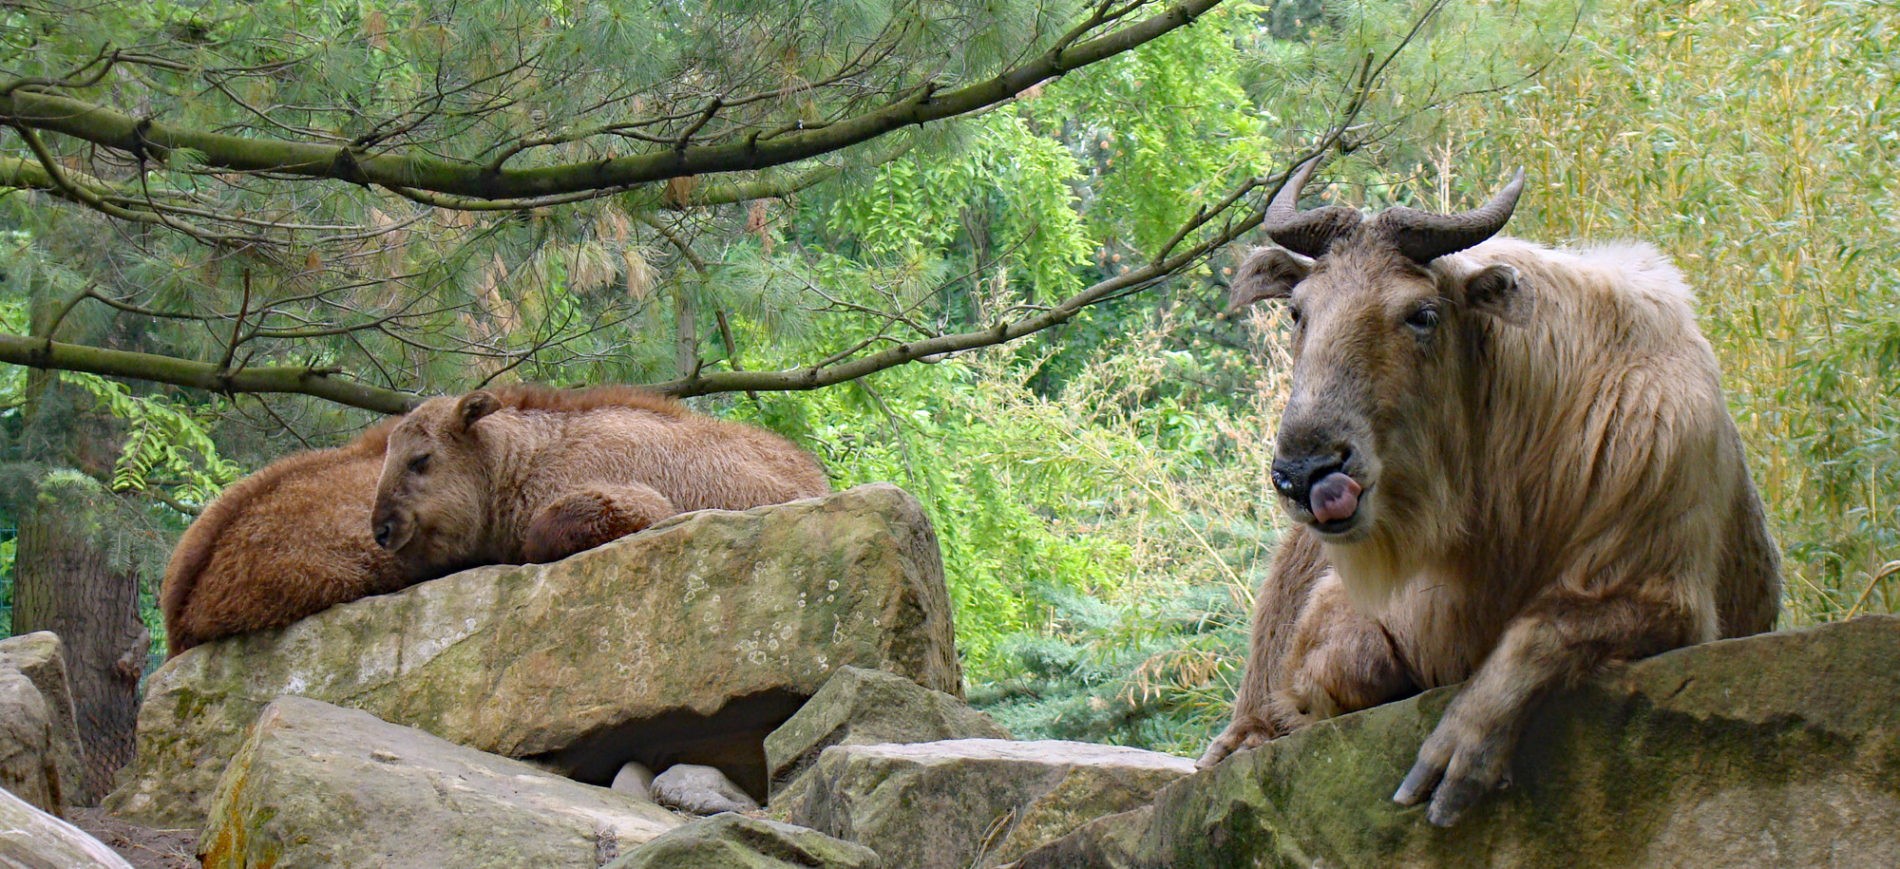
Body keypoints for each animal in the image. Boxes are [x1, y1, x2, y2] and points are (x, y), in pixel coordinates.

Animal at [1200, 157, 1778, 825]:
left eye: (1423, 314)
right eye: (1298, 311)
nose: (1306, 473)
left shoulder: (1658, 581)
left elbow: (1543, 631)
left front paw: (1462, 748)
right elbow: (1349, 667)